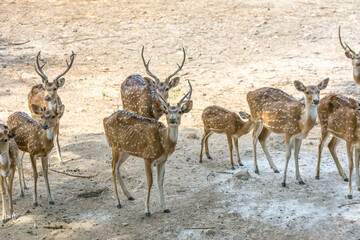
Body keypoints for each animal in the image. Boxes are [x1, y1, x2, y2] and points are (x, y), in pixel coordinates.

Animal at [104, 80, 193, 216]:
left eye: (180, 111)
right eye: (166, 111)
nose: (172, 119)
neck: (164, 144)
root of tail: (105, 119)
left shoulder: (162, 160)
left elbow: (160, 182)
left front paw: (165, 207)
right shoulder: (147, 156)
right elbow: (149, 182)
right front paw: (147, 210)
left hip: (126, 150)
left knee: (117, 167)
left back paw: (129, 195)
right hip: (115, 146)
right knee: (113, 168)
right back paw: (118, 202)